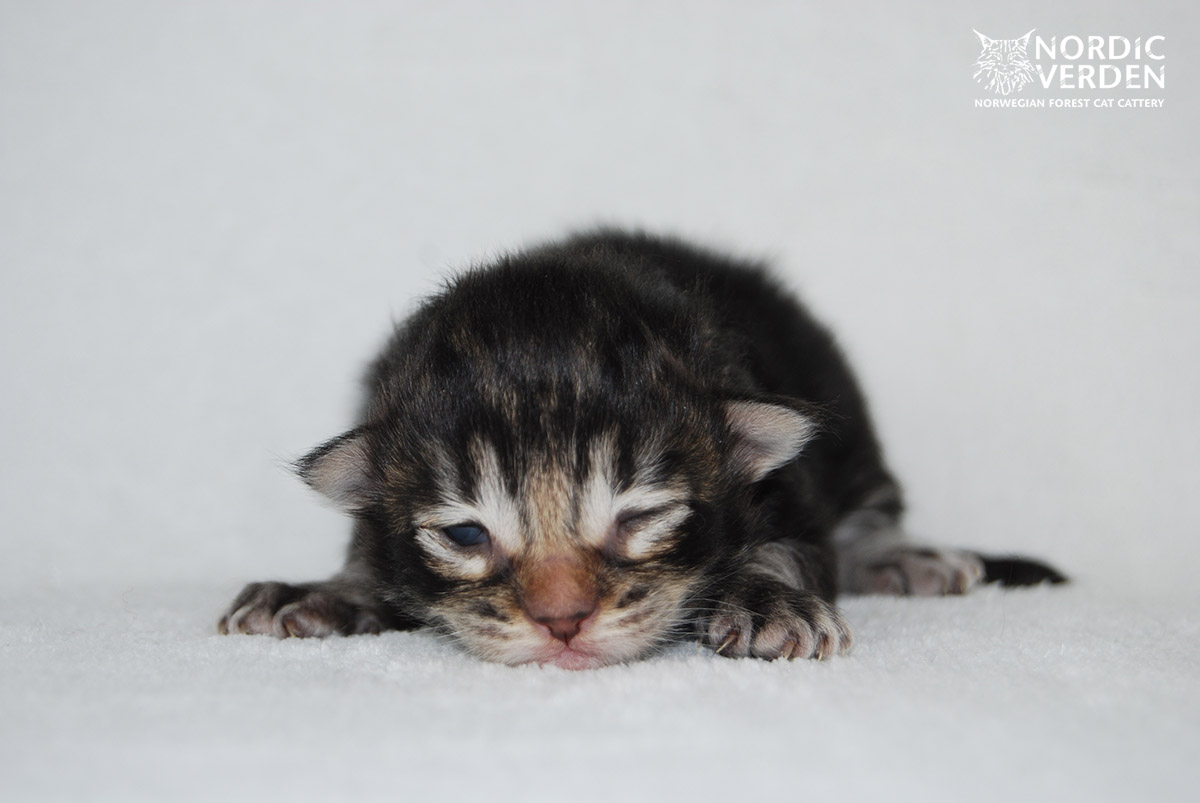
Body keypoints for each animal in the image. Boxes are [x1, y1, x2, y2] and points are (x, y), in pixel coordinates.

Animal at [218, 230, 1064, 669]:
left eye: (638, 518)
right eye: (464, 533)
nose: (562, 622)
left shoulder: (787, 492)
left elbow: (786, 548)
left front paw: (767, 598)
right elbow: (365, 553)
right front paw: (328, 589)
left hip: (848, 422)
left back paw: (906, 556)